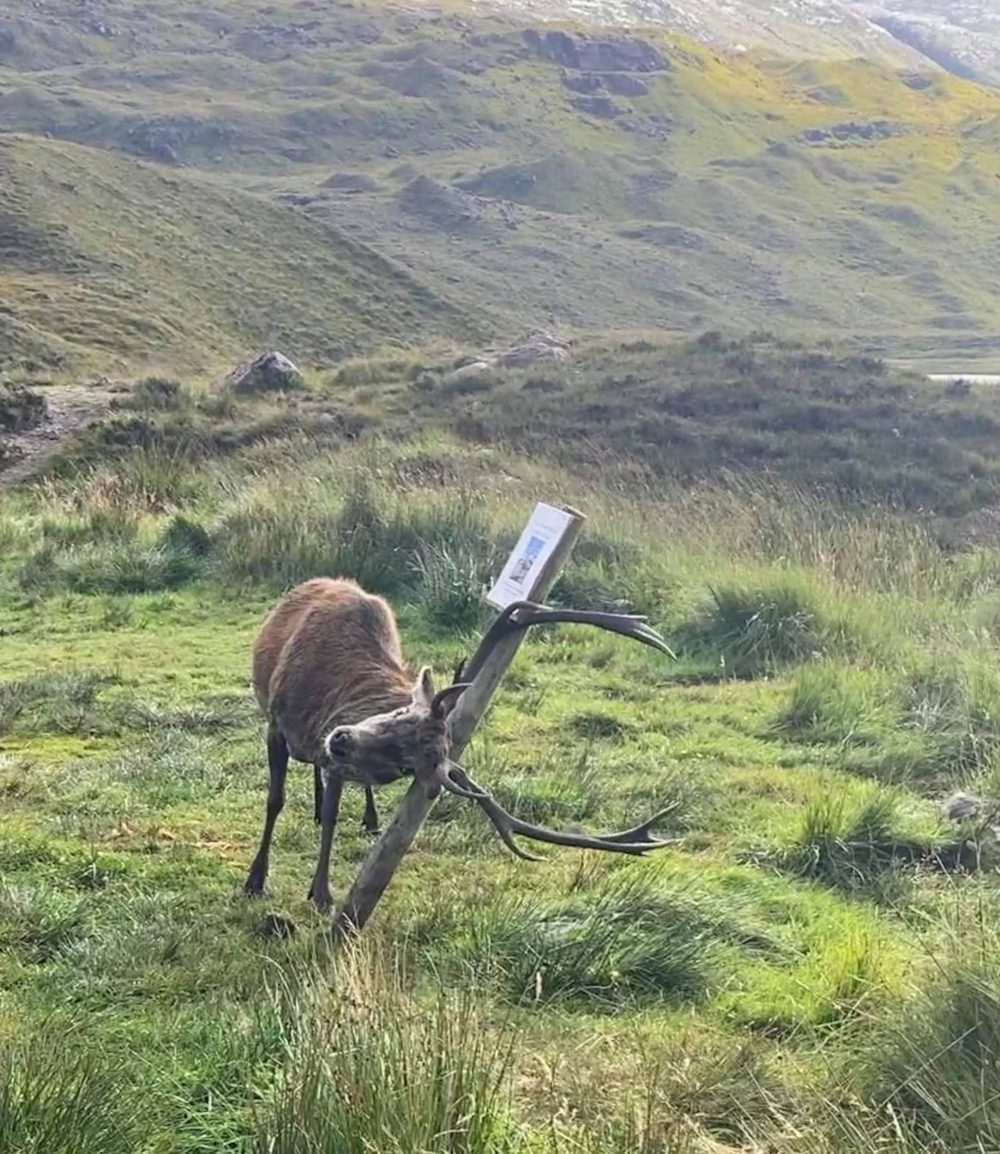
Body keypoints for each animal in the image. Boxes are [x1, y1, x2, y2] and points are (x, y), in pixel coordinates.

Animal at [245, 576, 676, 913]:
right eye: (402, 714)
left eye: (404, 766)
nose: (343, 740)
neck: (326, 700)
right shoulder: (277, 723)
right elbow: (276, 801)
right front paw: (256, 880)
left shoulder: (336, 759)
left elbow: (333, 814)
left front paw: (320, 894)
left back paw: (363, 815)